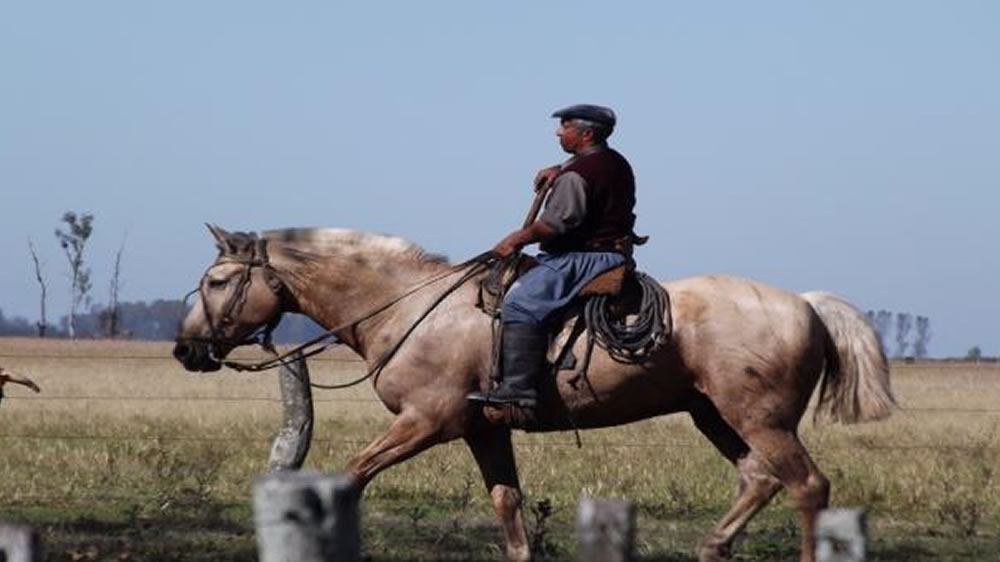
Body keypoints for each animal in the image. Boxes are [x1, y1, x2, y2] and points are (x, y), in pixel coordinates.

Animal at [174, 224, 900, 560]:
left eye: (217, 282)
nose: (185, 351)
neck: (410, 308)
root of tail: (804, 303)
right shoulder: (483, 429)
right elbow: (508, 504)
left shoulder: (426, 422)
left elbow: (353, 475)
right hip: (715, 414)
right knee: (759, 479)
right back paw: (712, 547)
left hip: (760, 418)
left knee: (807, 486)